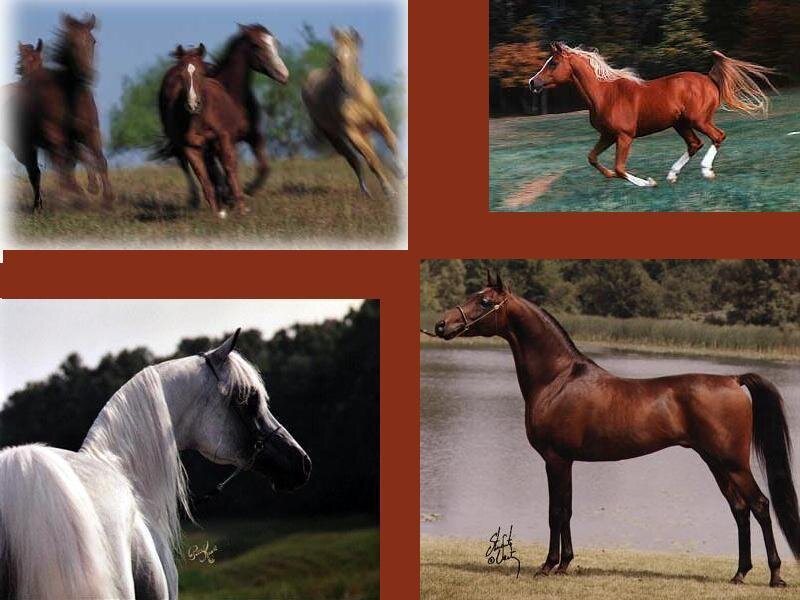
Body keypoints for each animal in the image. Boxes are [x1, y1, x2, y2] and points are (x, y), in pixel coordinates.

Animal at [4, 14, 113, 211]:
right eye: (71, 42)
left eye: (92, 41)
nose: (87, 75)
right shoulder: (55, 136)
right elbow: (70, 162)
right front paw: (83, 192)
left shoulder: (90, 132)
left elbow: (99, 160)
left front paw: (107, 198)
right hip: (22, 147)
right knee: (36, 172)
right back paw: (43, 204)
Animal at [157, 44, 250, 217]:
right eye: (181, 75)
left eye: (202, 73)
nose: (193, 104)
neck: (198, 118)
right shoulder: (189, 147)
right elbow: (203, 177)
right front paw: (218, 213)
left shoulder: (223, 137)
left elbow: (229, 166)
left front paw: (241, 207)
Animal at [302, 27, 404, 199]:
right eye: (336, 58)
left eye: (356, 58)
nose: (347, 87)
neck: (356, 99)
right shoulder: (350, 131)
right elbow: (371, 160)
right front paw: (389, 191)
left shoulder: (379, 120)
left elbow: (392, 142)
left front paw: (402, 171)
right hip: (335, 136)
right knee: (353, 159)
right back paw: (365, 191)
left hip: (365, 132)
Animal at [430, 272, 800, 587]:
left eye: (484, 301)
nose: (441, 324)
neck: (558, 379)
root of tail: (733, 379)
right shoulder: (566, 461)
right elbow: (566, 510)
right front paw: (565, 563)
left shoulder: (555, 459)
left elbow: (555, 512)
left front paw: (548, 565)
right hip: (716, 462)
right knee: (740, 509)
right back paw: (739, 573)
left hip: (733, 463)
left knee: (760, 505)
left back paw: (775, 576)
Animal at [529, 42, 777, 186]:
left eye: (554, 63)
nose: (533, 82)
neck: (605, 94)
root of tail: (709, 78)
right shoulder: (607, 136)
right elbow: (593, 158)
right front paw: (612, 176)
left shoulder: (624, 136)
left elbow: (620, 168)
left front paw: (648, 182)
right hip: (681, 124)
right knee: (694, 144)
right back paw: (672, 175)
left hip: (699, 120)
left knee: (718, 137)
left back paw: (706, 172)